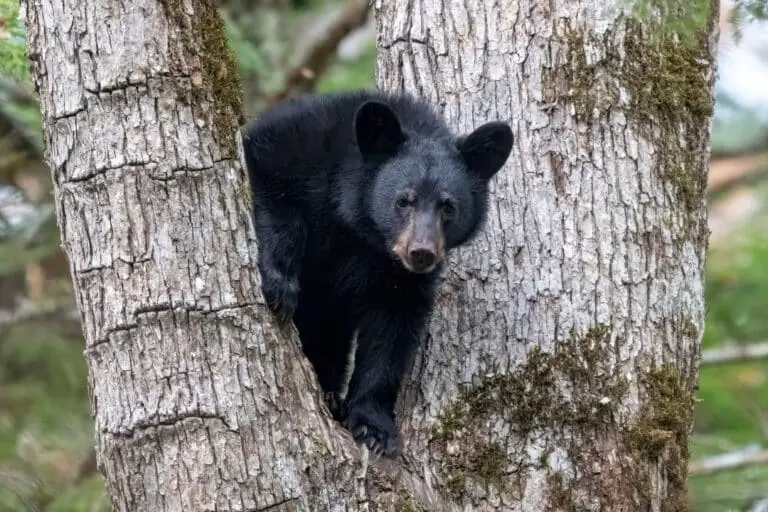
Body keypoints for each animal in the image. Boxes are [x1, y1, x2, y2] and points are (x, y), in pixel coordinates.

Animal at [241, 90, 513, 457]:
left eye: (448, 206)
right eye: (404, 200)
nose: (421, 252)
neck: (362, 232)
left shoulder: (400, 279)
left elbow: (391, 333)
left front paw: (374, 426)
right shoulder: (289, 147)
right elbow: (270, 196)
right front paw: (279, 283)